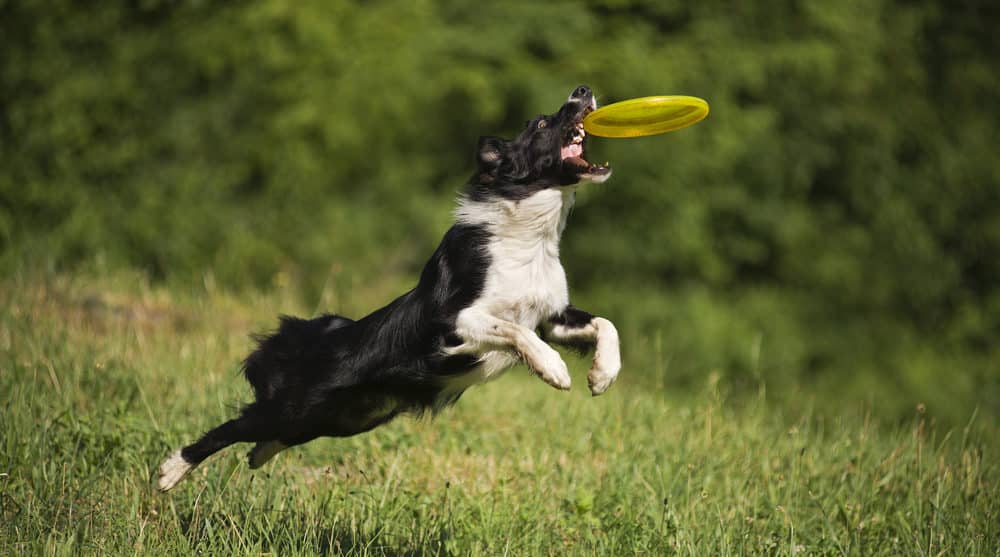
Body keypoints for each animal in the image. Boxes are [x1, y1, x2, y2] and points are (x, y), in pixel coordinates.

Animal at [157, 83, 620, 490]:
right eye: (540, 124)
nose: (582, 89)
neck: (530, 236)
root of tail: (316, 338)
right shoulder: (452, 320)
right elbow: (515, 330)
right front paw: (554, 370)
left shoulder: (551, 317)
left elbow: (604, 324)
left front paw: (601, 376)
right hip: (296, 406)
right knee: (232, 427)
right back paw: (169, 471)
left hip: (345, 419)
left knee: (267, 438)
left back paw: (256, 456)